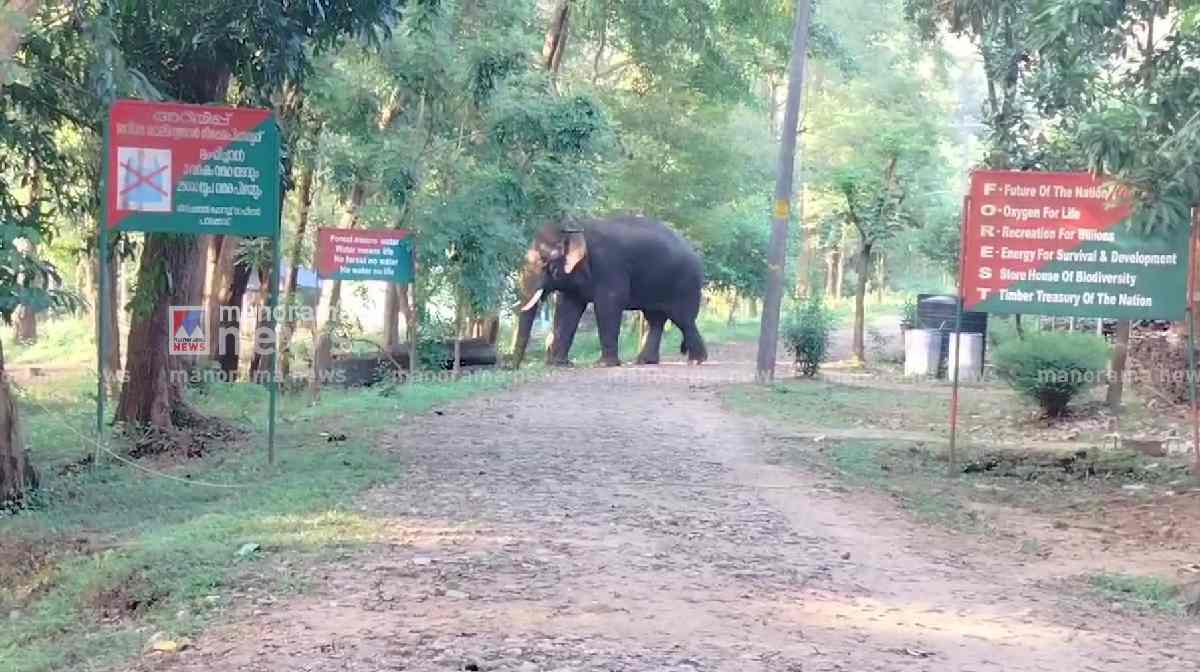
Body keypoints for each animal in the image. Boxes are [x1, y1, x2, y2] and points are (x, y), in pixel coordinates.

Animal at [510, 215, 709, 368]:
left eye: (545, 263)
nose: (510, 366)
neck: (575, 229)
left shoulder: (609, 265)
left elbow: (608, 305)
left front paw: (603, 364)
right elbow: (568, 309)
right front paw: (559, 364)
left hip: (685, 283)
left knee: (683, 319)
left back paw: (696, 361)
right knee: (655, 319)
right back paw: (645, 361)